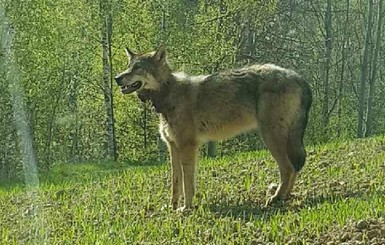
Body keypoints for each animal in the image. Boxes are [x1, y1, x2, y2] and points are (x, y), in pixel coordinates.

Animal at [115, 44, 312, 211]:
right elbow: (176, 183)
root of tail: (299, 77)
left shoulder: (188, 147)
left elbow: (188, 183)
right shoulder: (173, 147)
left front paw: (186, 208)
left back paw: (276, 198)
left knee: (288, 168)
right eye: (128, 66)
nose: (117, 78)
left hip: (270, 138)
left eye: (137, 68)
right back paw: (285, 197)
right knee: (294, 167)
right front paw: (172, 208)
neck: (168, 93)